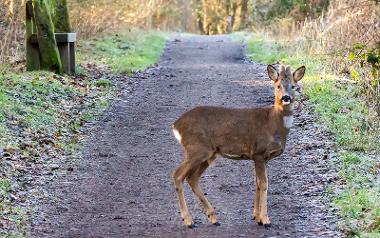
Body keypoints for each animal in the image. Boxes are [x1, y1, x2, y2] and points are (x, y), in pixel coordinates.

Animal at [172, 64, 306, 228]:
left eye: (293, 86)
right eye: (278, 86)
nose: (285, 98)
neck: (273, 122)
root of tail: (176, 125)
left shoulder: (262, 157)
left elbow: (257, 183)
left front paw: (256, 217)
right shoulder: (259, 153)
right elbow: (264, 183)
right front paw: (265, 219)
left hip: (208, 154)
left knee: (192, 178)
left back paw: (212, 217)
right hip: (196, 149)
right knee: (178, 175)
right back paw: (188, 220)